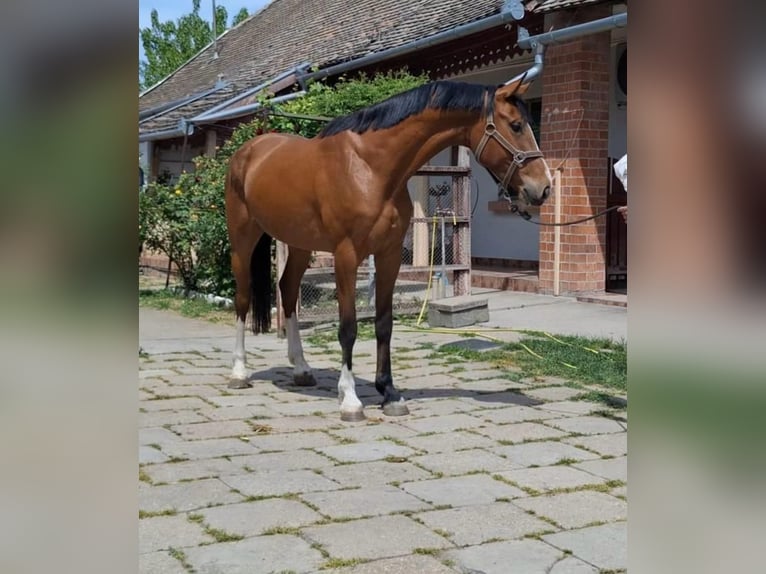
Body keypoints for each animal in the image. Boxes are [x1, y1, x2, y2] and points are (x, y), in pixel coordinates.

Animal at [224, 77, 552, 421]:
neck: (371, 168)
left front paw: (390, 393)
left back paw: (301, 369)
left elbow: (383, 324)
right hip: (243, 239)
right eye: (516, 125)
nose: (544, 187)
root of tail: (249, 150)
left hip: (300, 244)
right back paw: (239, 372)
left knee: (287, 291)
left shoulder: (389, 254)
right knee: (243, 298)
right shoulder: (347, 255)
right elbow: (349, 327)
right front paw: (350, 399)